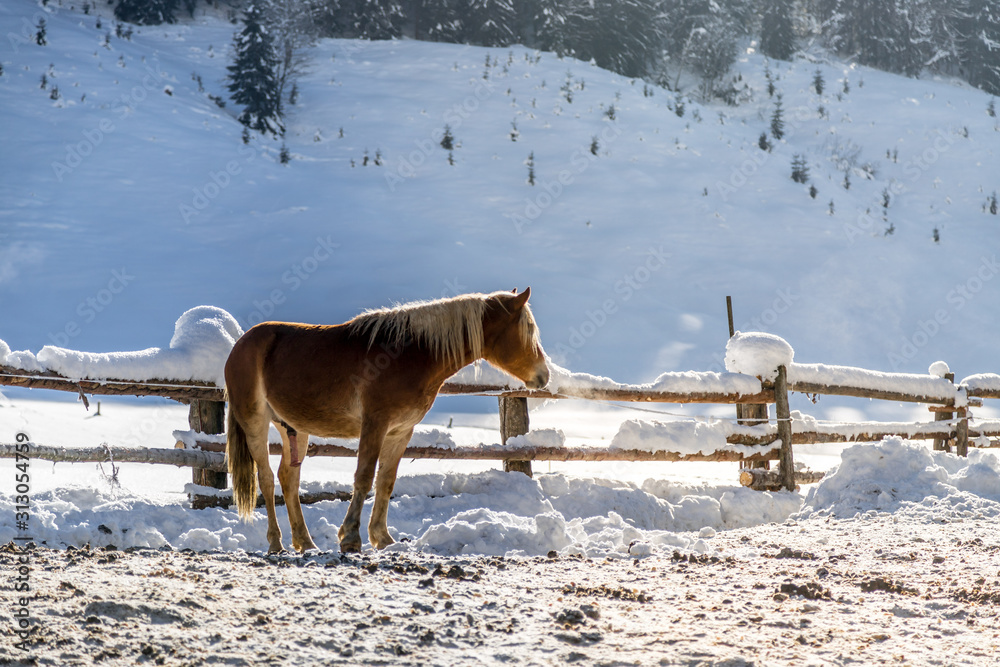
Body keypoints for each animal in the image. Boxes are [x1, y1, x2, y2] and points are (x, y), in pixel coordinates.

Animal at [224, 288, 549, 553]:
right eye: (528, 330)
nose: (544, 376)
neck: (410, 354)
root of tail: (241, 345)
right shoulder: (375, 424)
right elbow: (364, 476)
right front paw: (350, 538)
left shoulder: (400, 431)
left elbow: (386, 481)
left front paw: (382, 538)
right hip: (255, 423)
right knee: (266, 479)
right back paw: (276, 543)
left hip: (294, 429)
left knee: (288, 479)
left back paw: (305, 542)